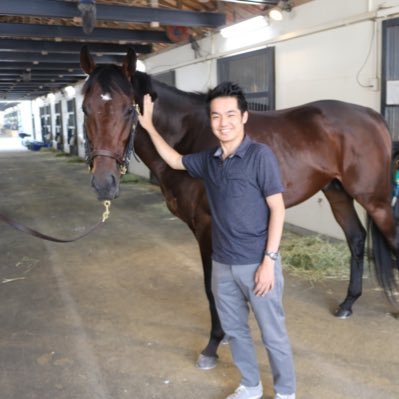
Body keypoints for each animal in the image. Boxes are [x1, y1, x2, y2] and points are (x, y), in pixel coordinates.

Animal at [79, 46, 398, 368]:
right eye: (85, 109)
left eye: (128, 110)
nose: (104, 182)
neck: (189, 136)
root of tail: (371, 116)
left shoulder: (208, 227)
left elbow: (212, 286)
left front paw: (214, 343)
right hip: (337, 193)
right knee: (356, 238)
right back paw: (347, 303)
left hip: (375, 200)